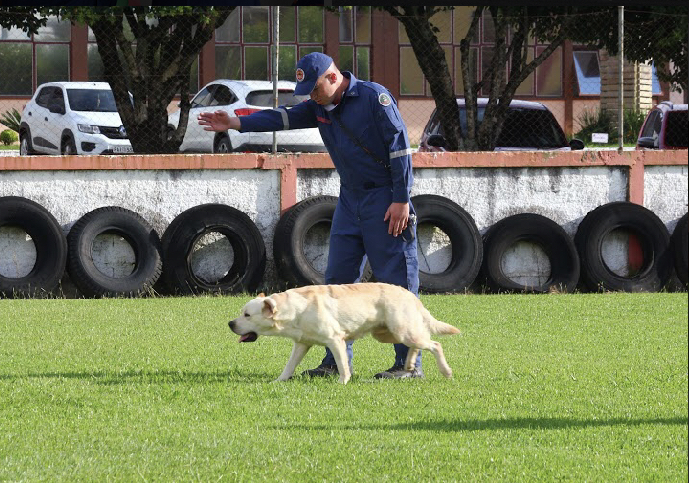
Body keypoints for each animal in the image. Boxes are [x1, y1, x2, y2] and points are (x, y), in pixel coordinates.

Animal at [228, 282, 460, 384]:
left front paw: (342, 382)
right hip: (390, 333)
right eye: (241, 313)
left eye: (247, 315)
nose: (230, 323)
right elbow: (289, 365)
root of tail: (411, 294)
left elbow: (342, 365)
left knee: (435, 344)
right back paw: (410, 365)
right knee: (418, 345)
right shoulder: (302, 343)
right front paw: (279, 381)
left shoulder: (335, 340)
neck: (296, 309)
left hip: (402, 330)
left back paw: (446, 371)